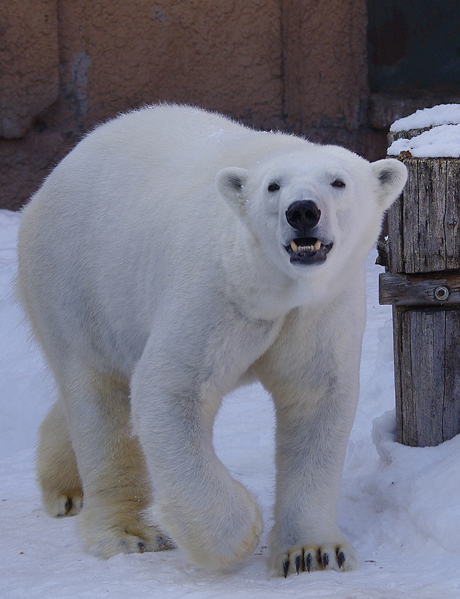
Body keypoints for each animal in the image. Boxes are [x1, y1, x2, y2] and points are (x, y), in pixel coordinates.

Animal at [17, 105, 406, 580]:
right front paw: (240, 531)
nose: (302, 211)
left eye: (338, 181)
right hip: (75, 279)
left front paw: (312, 553)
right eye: (273, 186)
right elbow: (169, 390)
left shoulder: (319, 310)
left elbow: (316, 400)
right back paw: (130, 531)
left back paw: (65, 488)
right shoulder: (216, 291)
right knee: (97, 394)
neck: (274, 288)